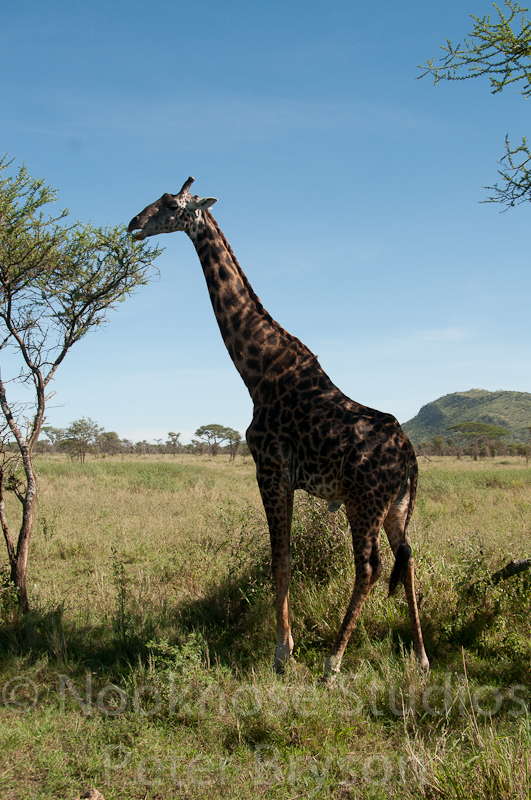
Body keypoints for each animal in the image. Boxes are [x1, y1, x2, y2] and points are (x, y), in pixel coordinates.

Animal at [130, 178, 432, 680]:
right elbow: (284, 558)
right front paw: (285, 647)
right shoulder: (281, 476)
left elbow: (279, 560)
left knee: (370, 567)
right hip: (398, 505)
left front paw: (281, 654)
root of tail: (408, 458)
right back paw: (422, 657)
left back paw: (332, 662)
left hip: (363, 502)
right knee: (406, 559)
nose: (134, 222)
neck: (257, 370)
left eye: (170, 205)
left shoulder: (270, 469)